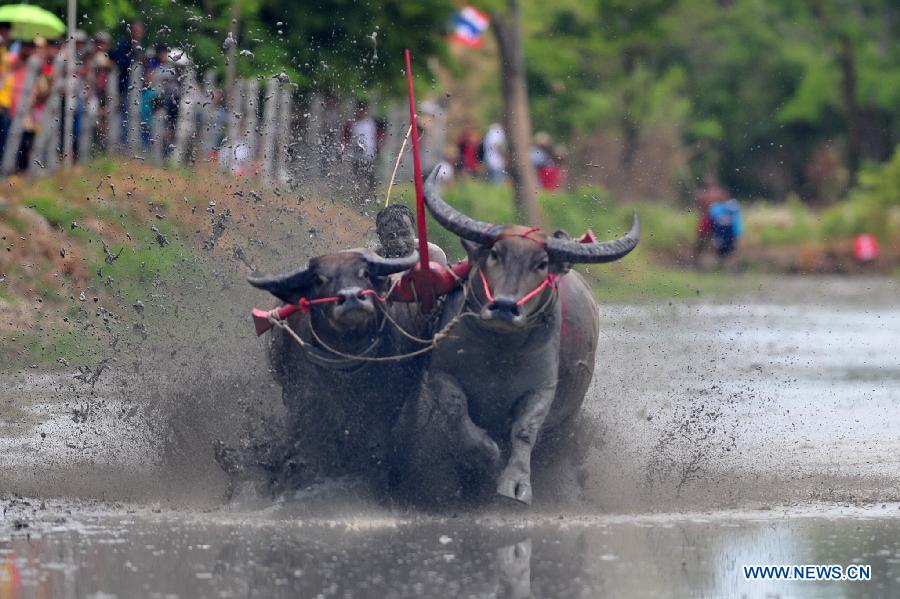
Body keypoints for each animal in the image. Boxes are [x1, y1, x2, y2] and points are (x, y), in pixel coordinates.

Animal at [396, 168, 640, 506]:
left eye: (541, 264)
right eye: (495, 254)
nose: (504, 306)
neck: (499, 351)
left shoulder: (541, 390)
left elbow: (525, 430)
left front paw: (515, 484)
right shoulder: (441, 375)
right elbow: (457, 410)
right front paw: (485, 455)